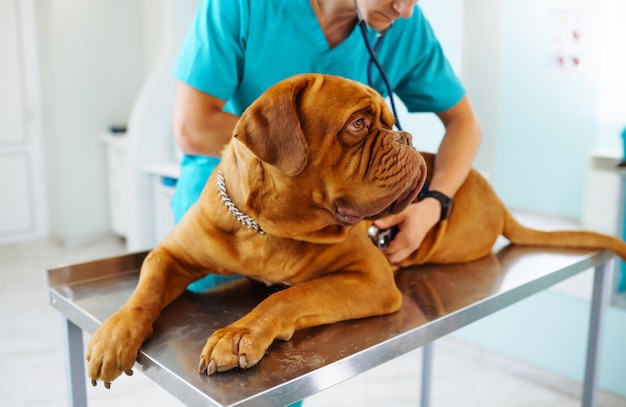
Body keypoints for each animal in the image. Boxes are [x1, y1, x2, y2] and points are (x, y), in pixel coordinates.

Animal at [86, 73, 624, 388]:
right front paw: (114, 335)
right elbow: (145, 290)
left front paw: (240, 333)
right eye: (359, 124)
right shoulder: (172, 254)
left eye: (387, 120)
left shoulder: (372, 280)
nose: (406, 135)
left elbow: (291, 296)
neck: (269, 227)